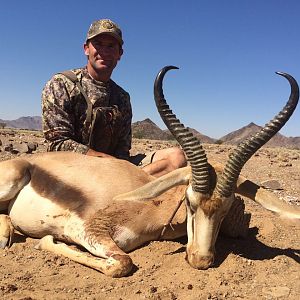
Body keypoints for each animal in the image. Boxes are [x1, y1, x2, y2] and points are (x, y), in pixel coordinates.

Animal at [0, 67, 298, 278]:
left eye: (226, 209)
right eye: (189, 202)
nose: (201, 260)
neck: (152, 206)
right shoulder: (85, 229)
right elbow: (122, 262)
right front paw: (46, 241)